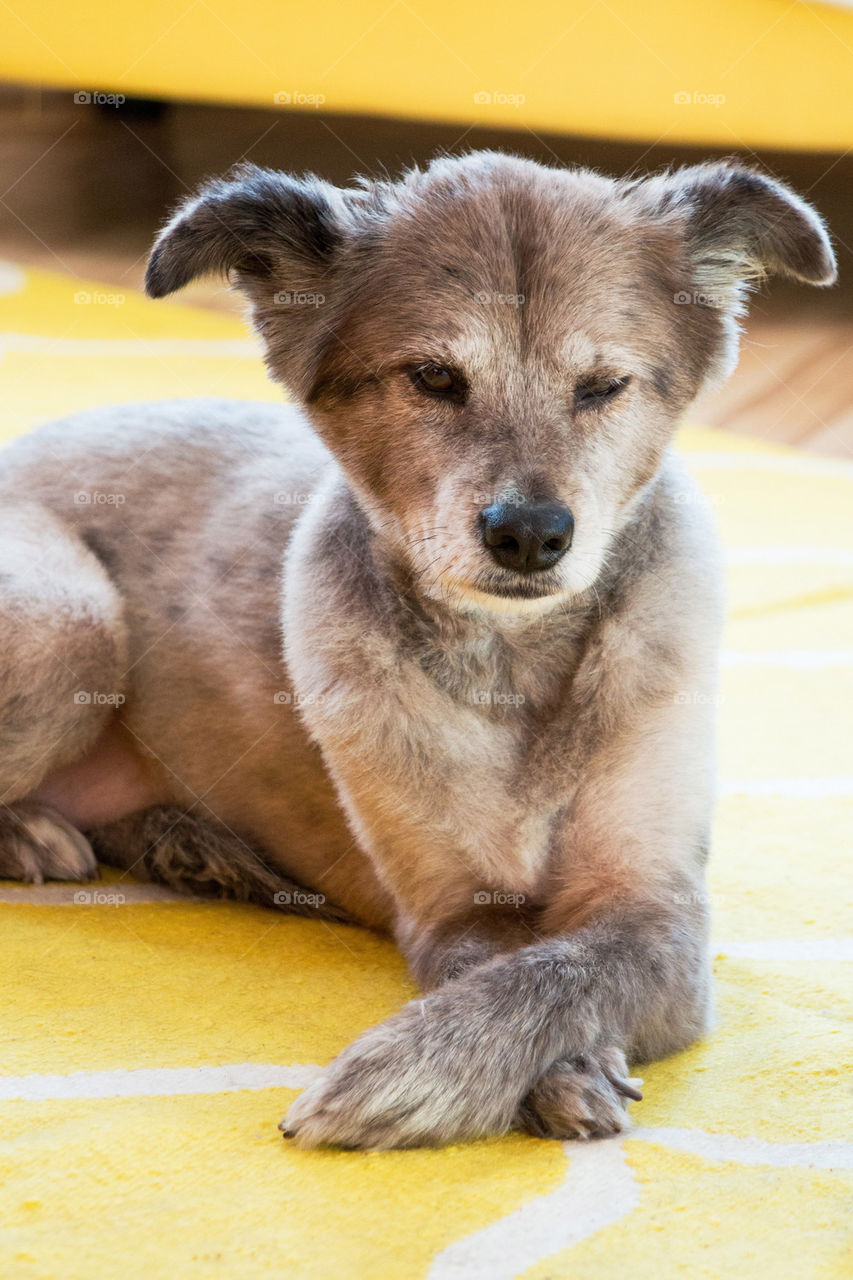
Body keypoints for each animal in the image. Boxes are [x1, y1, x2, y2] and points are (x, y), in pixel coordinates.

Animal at [0, 152, 835, 1152]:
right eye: (434, 377)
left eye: (602, 386)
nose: (528, 535)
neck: (511, 667)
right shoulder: (448, 908)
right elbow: (508, 973)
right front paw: (516, 1074)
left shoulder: (654, 914)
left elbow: (563, 970)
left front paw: (412, 1074)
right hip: (73, 622)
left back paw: (192, 849)